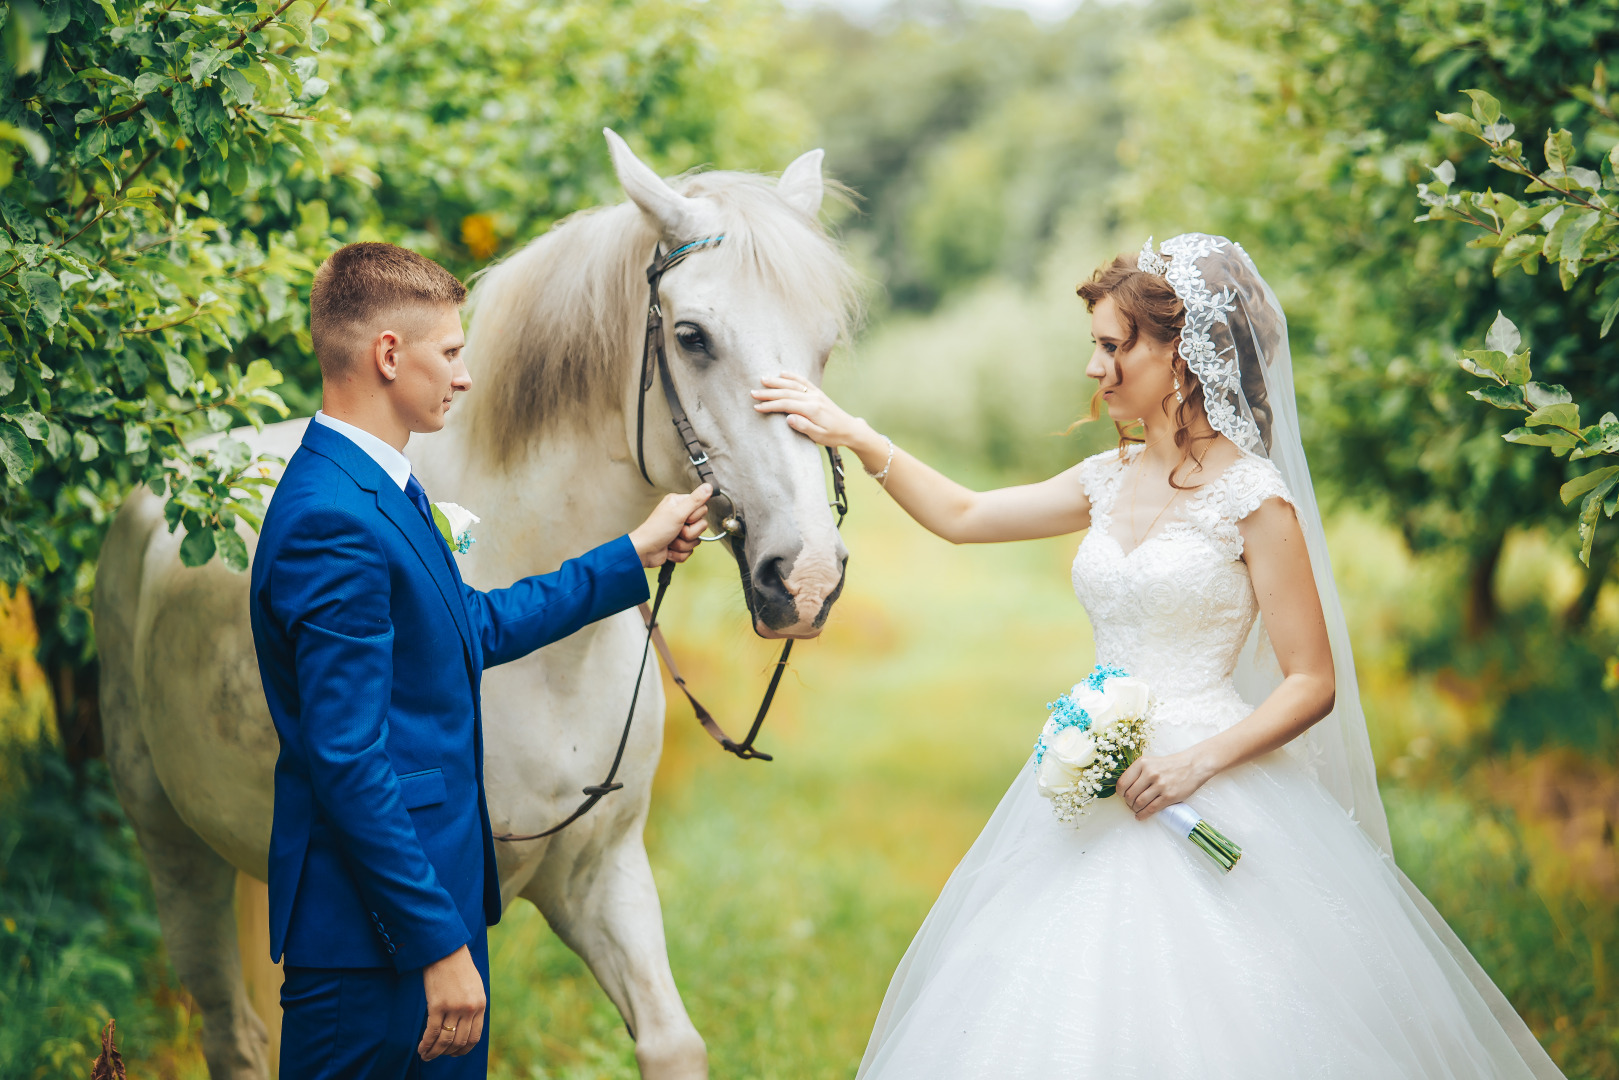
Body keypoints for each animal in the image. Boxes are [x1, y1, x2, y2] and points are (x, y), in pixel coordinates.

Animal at [94, 135, 861, 1080]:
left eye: (823, 350)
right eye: (691, 337)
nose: (807, 577)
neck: (550, 668)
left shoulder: (602, 877)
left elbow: (672, 1041)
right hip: (174, 850)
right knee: (231, 1033)